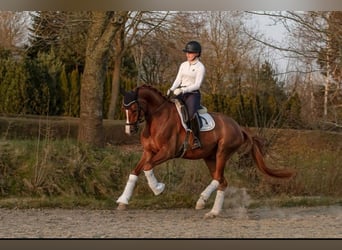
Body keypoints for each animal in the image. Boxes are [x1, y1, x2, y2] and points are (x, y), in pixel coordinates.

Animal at [116, 85, 292, 218]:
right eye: (123, 108)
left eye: (133, 108)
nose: (129, 130)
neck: (157, 118)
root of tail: (238, 126)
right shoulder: (148, 152)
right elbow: (135, 172)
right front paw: (123, 200)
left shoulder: (167, 152)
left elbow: (147, 167)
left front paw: (158, 188)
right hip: (209, 157)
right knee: (222, 181)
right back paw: (213, 212)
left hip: (222, 153)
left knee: (218, 179)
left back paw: (202, 201)